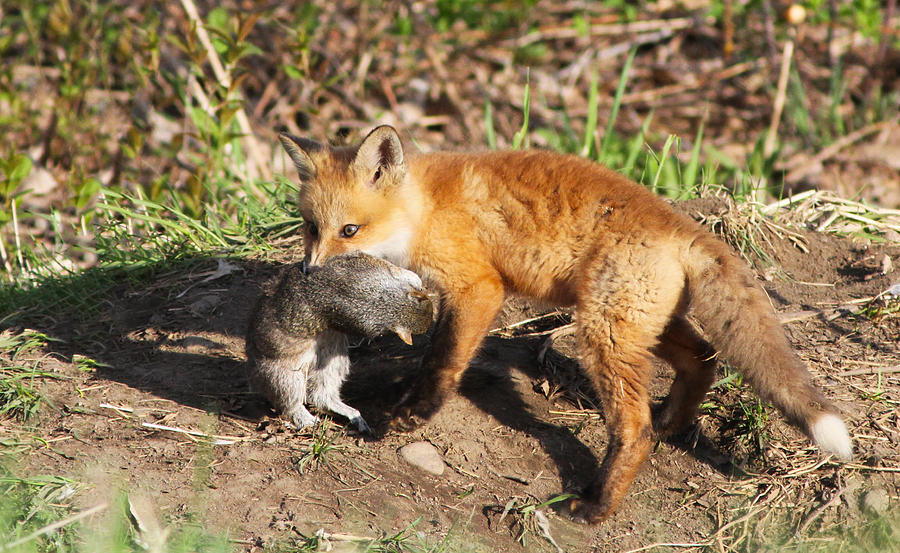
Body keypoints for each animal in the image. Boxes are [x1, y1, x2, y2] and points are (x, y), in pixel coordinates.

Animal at [244, 252, 430, 434]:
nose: (430, 323)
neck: (382, 302)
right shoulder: (358, 270)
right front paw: (414, 278)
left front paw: (414, 279)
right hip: (284, 374)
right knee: (288, 399)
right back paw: (303, 417)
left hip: (332, 363)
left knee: (321, 396)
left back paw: (351, 414)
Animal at [278, 125, 856, 520]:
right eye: (310, 227)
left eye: (349, 230)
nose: (307, 272)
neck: (425, 208)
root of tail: (684, 225)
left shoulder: (478, 288)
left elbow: (442, 360)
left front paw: (414, 413)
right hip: (641, 324)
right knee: (701, 358)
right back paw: (671, 424)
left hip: (603, 332)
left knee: (633, 428)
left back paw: (597, 506)